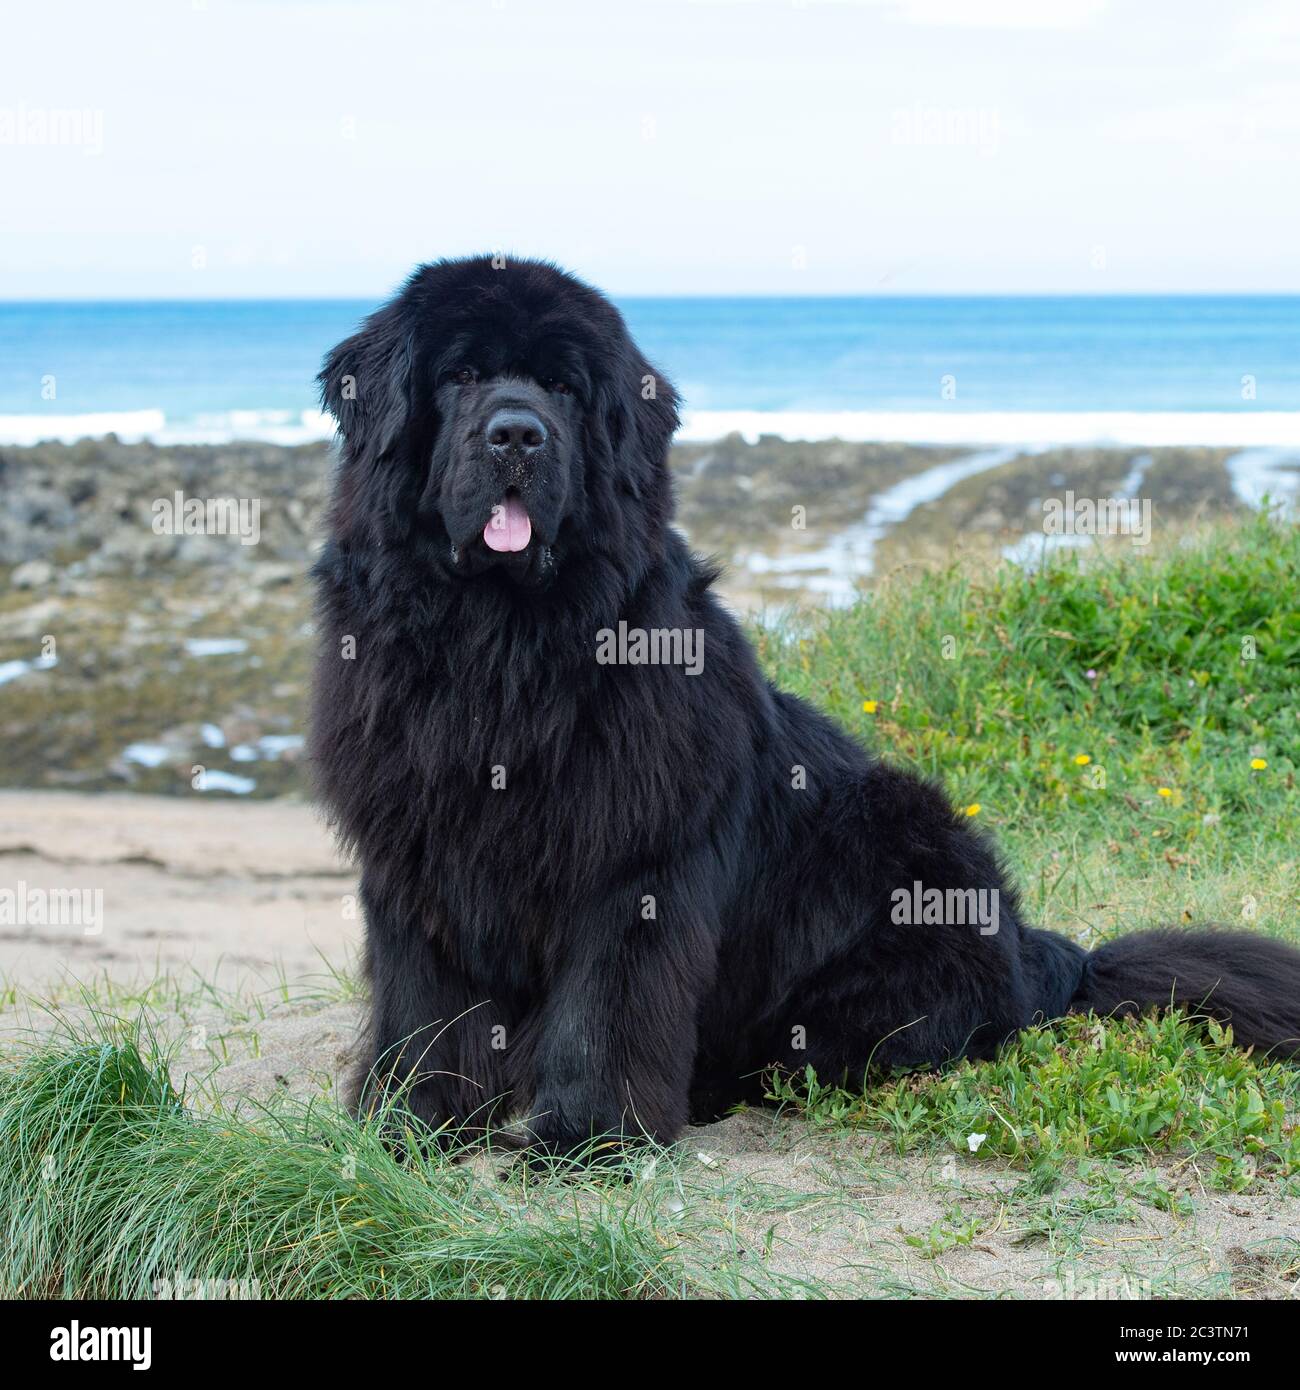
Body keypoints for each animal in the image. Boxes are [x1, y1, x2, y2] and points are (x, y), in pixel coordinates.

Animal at [312, 255, 1300, 1156]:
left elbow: (605, 1008)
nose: (517, 434)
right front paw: (409, 1124)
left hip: (895, 848)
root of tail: (1046, 953)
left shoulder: (634, 864)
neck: (502, 643)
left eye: (561, 385)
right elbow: (425, 1006)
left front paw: (586, 1140)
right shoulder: (418, 856)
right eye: (461, 377)